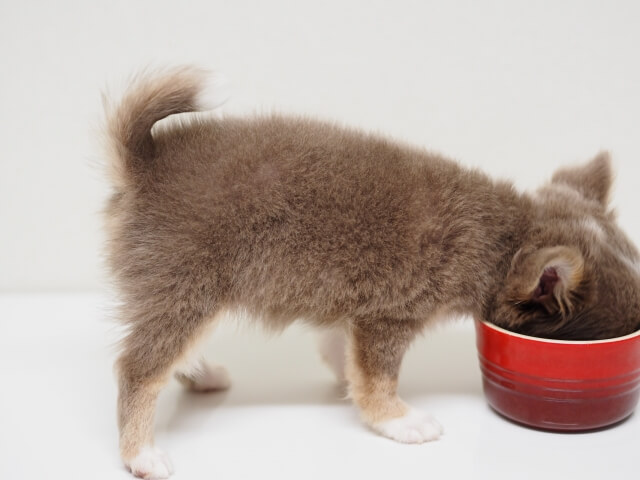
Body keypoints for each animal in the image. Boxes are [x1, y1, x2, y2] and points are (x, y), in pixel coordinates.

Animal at [102, 65, 640, 478]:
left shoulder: (356, 312)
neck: (501, 237)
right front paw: (399, 420)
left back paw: (199, 372)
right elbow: (378, 379)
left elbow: (345, 356)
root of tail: (146, 163)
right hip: (189, 287)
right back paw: (141, 454)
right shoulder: (390, 318)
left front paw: (347, 382)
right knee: (139, 368)